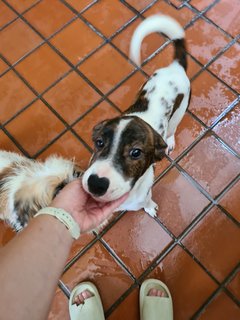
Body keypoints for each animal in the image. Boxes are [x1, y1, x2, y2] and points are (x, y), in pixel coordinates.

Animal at [82, 13, 191, 216]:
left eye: (136, 152)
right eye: (99, 142)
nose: (96, 183)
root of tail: (176, 67)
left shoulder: (145, 194)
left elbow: (147, 202)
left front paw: (150, 208)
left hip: (179, 112)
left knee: (172, 129)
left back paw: (170, 141)